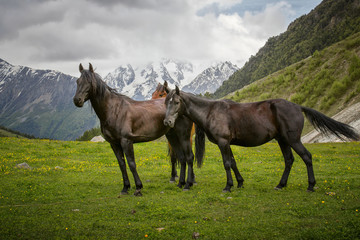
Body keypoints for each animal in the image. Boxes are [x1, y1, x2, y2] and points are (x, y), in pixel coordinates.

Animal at [73, 63, 204, 195]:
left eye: (89, 82)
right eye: (78, 81)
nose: (77, 100)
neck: (114, 110)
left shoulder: (126, 141)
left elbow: (131, 164)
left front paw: (138, 187)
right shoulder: (114, 144)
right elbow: (122, 165)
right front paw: (125, 188)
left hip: (184, 136)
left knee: (189, 157)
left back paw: (188, 184)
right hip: (172, 137)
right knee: (181, 158)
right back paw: (180, 183)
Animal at [164, 85, 360, 192]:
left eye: (176, 102)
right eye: (165, 102)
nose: (167, 121)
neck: (211, 111)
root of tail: (297, 106)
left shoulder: (223, 142)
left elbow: (227, 163)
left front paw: (228, 186)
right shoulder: (228, 144)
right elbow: (233, 162)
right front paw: (240, 183)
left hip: (293, 140)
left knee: (307, 157)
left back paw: (311, 186)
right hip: (283, 141)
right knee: (289, 160)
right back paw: (281, 185)